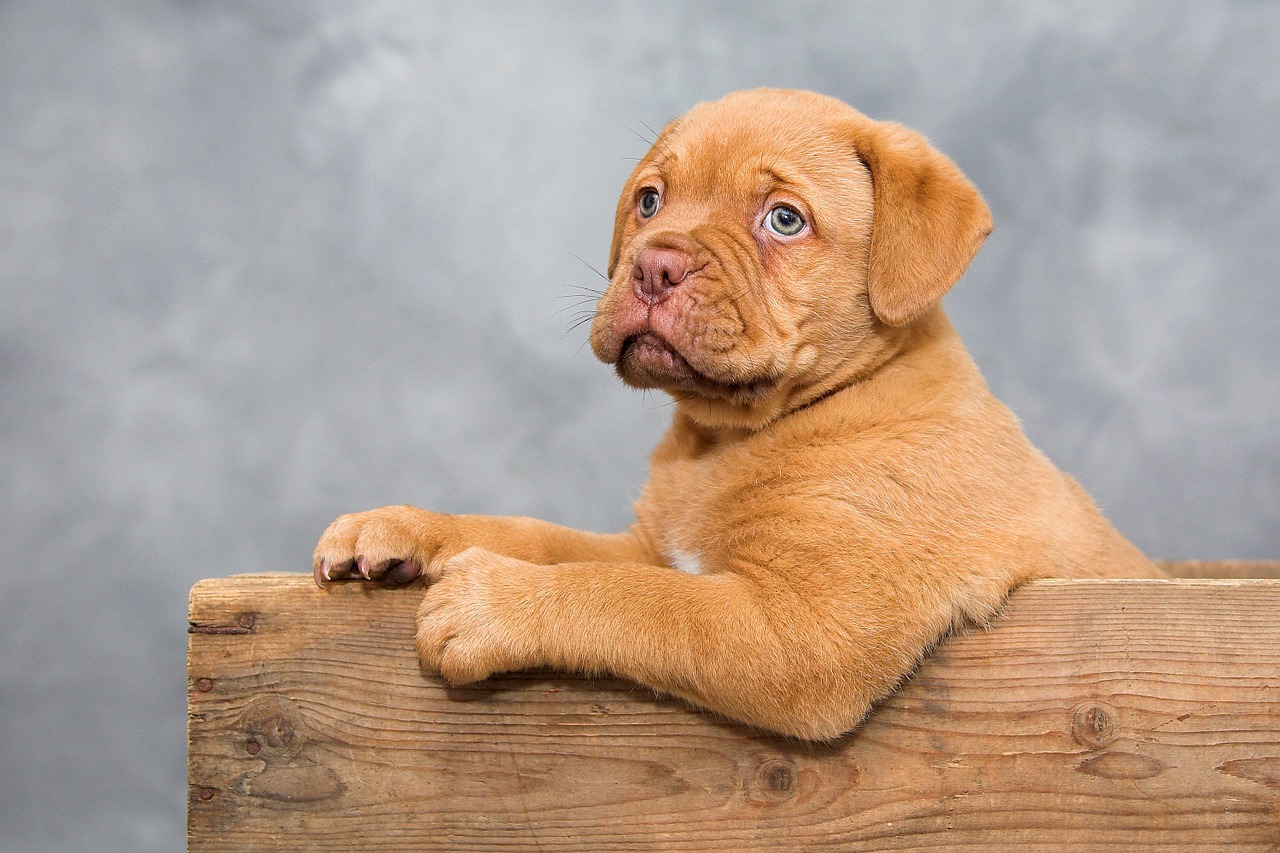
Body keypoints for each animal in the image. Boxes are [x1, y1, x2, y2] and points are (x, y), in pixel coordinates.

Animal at [314, 87, 1167, 737]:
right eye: (650, 199)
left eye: (784, 219)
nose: (655, 265)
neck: (728, 437)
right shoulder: (652, 547)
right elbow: (542, 537)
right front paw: (402, 525)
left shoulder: (805, 630)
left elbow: (638, 601)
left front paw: (492, 603)